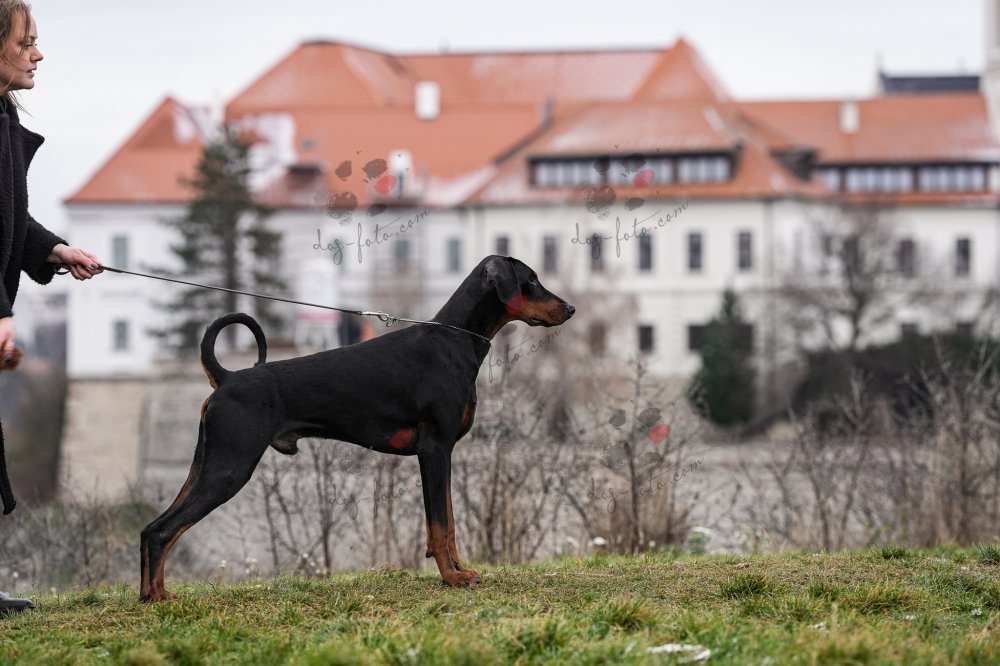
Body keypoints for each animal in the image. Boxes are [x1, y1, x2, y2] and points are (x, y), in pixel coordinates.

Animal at [139, 255, 575, 601]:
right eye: (531, 280)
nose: (570, 308)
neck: (454, 340)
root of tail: (226, 378)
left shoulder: (443, 455)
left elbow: (448, 522)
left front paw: (459, 569)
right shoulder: (435, 450)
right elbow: (440, 525)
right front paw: (451, 578)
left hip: (205, 465)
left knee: (151, 528)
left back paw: (148, 594)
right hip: (229, 468)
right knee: (164, 531)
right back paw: (160, 598)